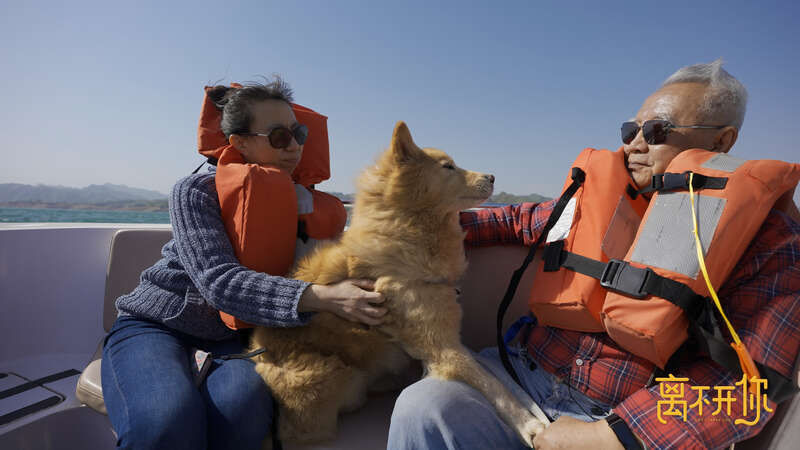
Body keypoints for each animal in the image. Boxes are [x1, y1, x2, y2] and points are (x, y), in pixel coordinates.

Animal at [252, 122, 544, 446]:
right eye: (448, 166)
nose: (492, 176)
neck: (408, 236)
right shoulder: (443, 347)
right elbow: (496, 387)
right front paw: (530, 425)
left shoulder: (448, 340)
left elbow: (487, 374)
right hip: (332, 374)